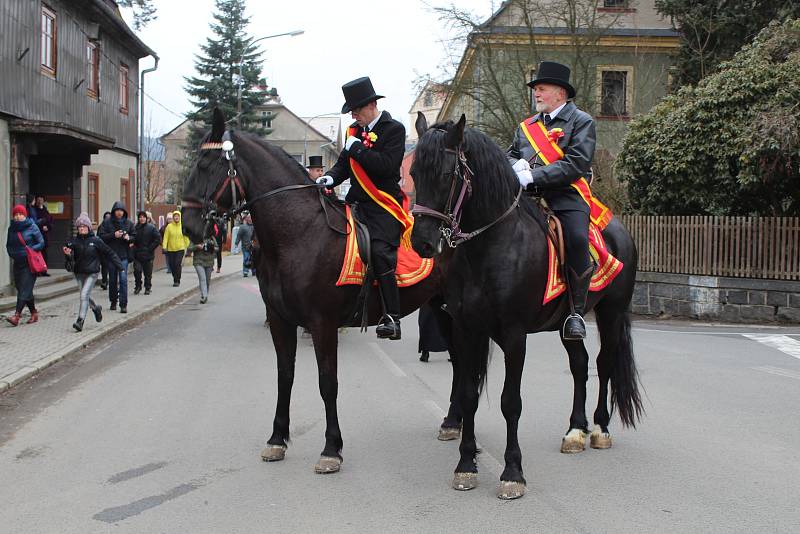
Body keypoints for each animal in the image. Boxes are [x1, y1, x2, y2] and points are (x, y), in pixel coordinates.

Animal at [178, 109, 460, 478]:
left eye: (206, 165)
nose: (189, 226)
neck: (299, 233)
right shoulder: (280, 321)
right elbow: (285, 376)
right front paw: (277, 439)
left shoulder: (322, 324)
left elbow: (328, 383)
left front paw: (331, 449)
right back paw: (453, 422)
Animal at [412, 114, 644, 502]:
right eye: (414, 173)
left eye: (446, 174)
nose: (422, 243)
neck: (488, 247)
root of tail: (619, 228)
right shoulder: (465, 328)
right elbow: (468, 394)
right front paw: (465, 464)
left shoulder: (513, 334)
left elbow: (511, 402)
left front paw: (512, 472)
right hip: (568, 323)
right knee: (580, 365)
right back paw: (575, 431)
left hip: (611, 314)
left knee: (604, 364)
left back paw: (599, 429)